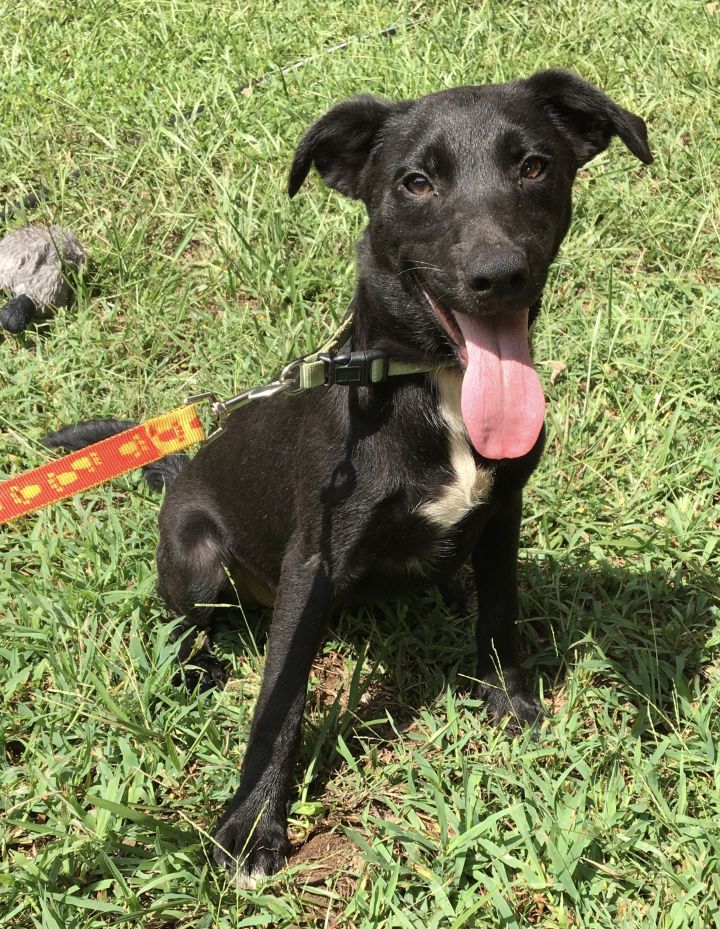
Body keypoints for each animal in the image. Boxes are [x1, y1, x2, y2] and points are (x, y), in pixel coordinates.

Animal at [45, 70, 652, 884]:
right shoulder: (313, 561)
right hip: (197, 559)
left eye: (533, 166)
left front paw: (508, 701)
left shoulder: (503, 511)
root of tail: (178, 471)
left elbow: (500, 610)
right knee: (182, 620)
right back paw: (190, 667)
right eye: (416, 182)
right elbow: (279, 702)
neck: (434, 384)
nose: (498, 277)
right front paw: (250, 826)